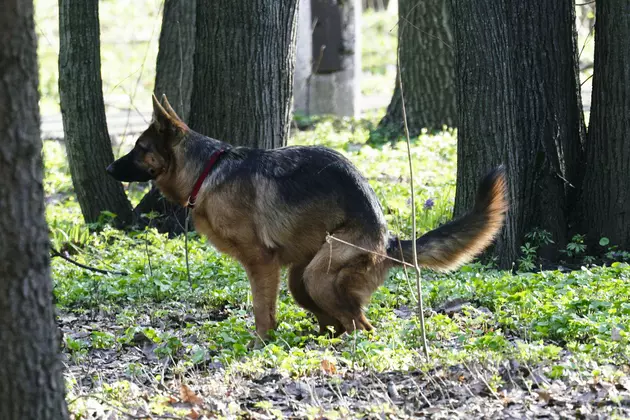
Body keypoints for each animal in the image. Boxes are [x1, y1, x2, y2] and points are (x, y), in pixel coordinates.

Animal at [108, 97, 512, 346]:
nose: (110, 169)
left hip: (318, 276)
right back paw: (321, 340)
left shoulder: (261, 263)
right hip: (300, 281)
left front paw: (261, 344)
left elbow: (261, 310)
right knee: (340, 321)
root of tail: (387, 239)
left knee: (363, 326)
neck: (207, 172)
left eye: (140, 149)